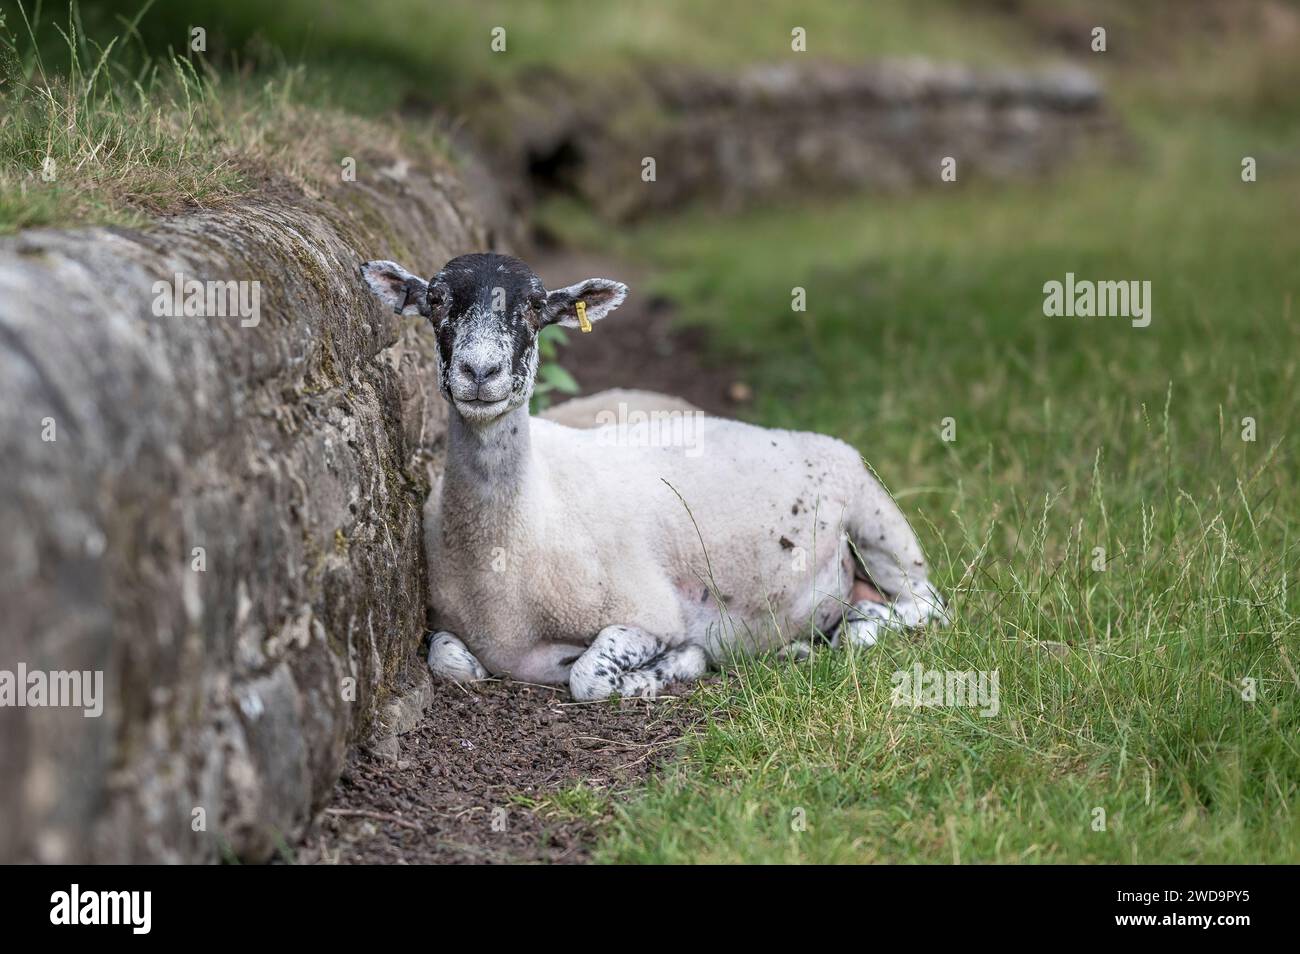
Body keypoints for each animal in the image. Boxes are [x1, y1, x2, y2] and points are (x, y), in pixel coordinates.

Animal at [360, 252, 946, 700]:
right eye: (436, 300)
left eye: (535, 306)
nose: (480, 372)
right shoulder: (444, 622)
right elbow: (450, 661)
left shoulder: (650, 612)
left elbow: (590, 676)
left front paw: (677, 666)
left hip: (878, 519)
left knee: (927, 607)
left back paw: (852, 629)